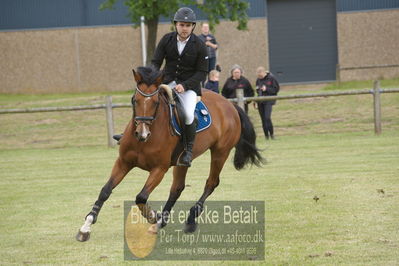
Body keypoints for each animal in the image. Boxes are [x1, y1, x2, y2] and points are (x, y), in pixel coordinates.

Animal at [76, 66, 264, 241]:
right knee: (177, 188)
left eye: (155, 103)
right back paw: (161, 223)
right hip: (182, 161)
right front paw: (86, 226)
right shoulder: (123, 162)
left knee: (211, 183)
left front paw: (153, 216)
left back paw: (188, 220)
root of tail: (230, 104)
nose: (142, 134)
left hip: (220, 152)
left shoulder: (159, 169)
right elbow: (105, 190)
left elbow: (141, 197)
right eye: (135, 100)